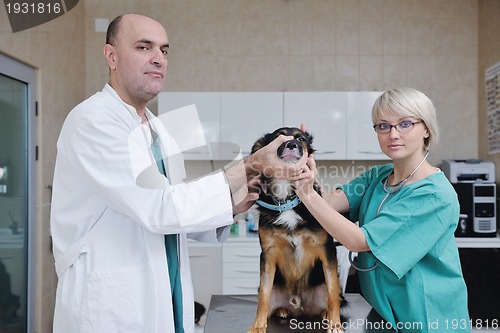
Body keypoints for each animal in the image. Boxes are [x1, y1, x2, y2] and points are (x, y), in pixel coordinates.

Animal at [248, 127, 346, 332]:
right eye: (279, 137)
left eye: (301, 139)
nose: (292, 144)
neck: (287, 199)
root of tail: (298, 305)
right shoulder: (268, 253)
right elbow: (263, 297)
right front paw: (258, 326)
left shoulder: (327, 250)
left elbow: (333, 292)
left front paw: (335, 324)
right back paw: (282, 310)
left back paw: (325, 314)